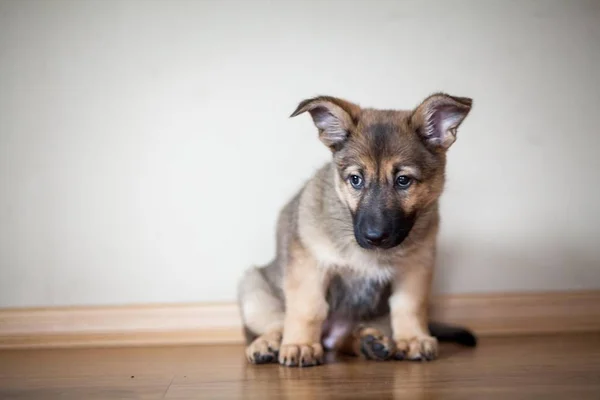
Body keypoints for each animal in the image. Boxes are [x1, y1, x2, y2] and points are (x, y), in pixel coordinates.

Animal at [237, 92, 476, 368]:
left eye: (403, 180)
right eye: (356, 179)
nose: (375, 237)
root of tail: (329, 334)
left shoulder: (416, 267)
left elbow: (410, 305)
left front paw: (414, 338)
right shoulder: (309, 264)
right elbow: (308, 308)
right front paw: (300, 344)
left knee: (346, 339)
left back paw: (369, 343)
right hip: (254, 291)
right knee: (276, 325)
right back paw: (268, 344)